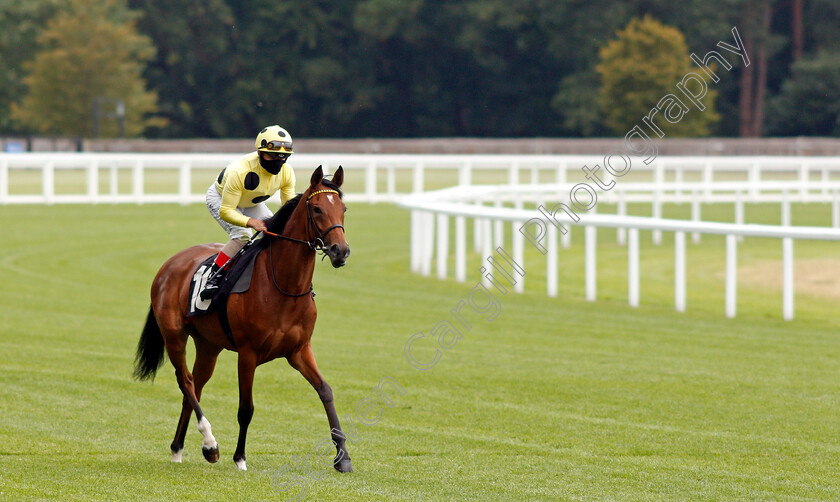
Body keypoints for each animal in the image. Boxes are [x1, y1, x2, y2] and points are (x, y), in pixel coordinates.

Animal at [132, 165, 354, 470]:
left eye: (343, 208)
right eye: (318, 209)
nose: (340, 251)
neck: (284, 286)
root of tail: (169, 265)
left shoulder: (299, 350)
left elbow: (326, 391)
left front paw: (343, 457)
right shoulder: (248, 353)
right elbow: (246, 408)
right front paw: (240, 458)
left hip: (209, 345)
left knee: (195, 388)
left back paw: (178, 449)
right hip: (174, 335)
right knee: (185, 382)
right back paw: (210, 444)